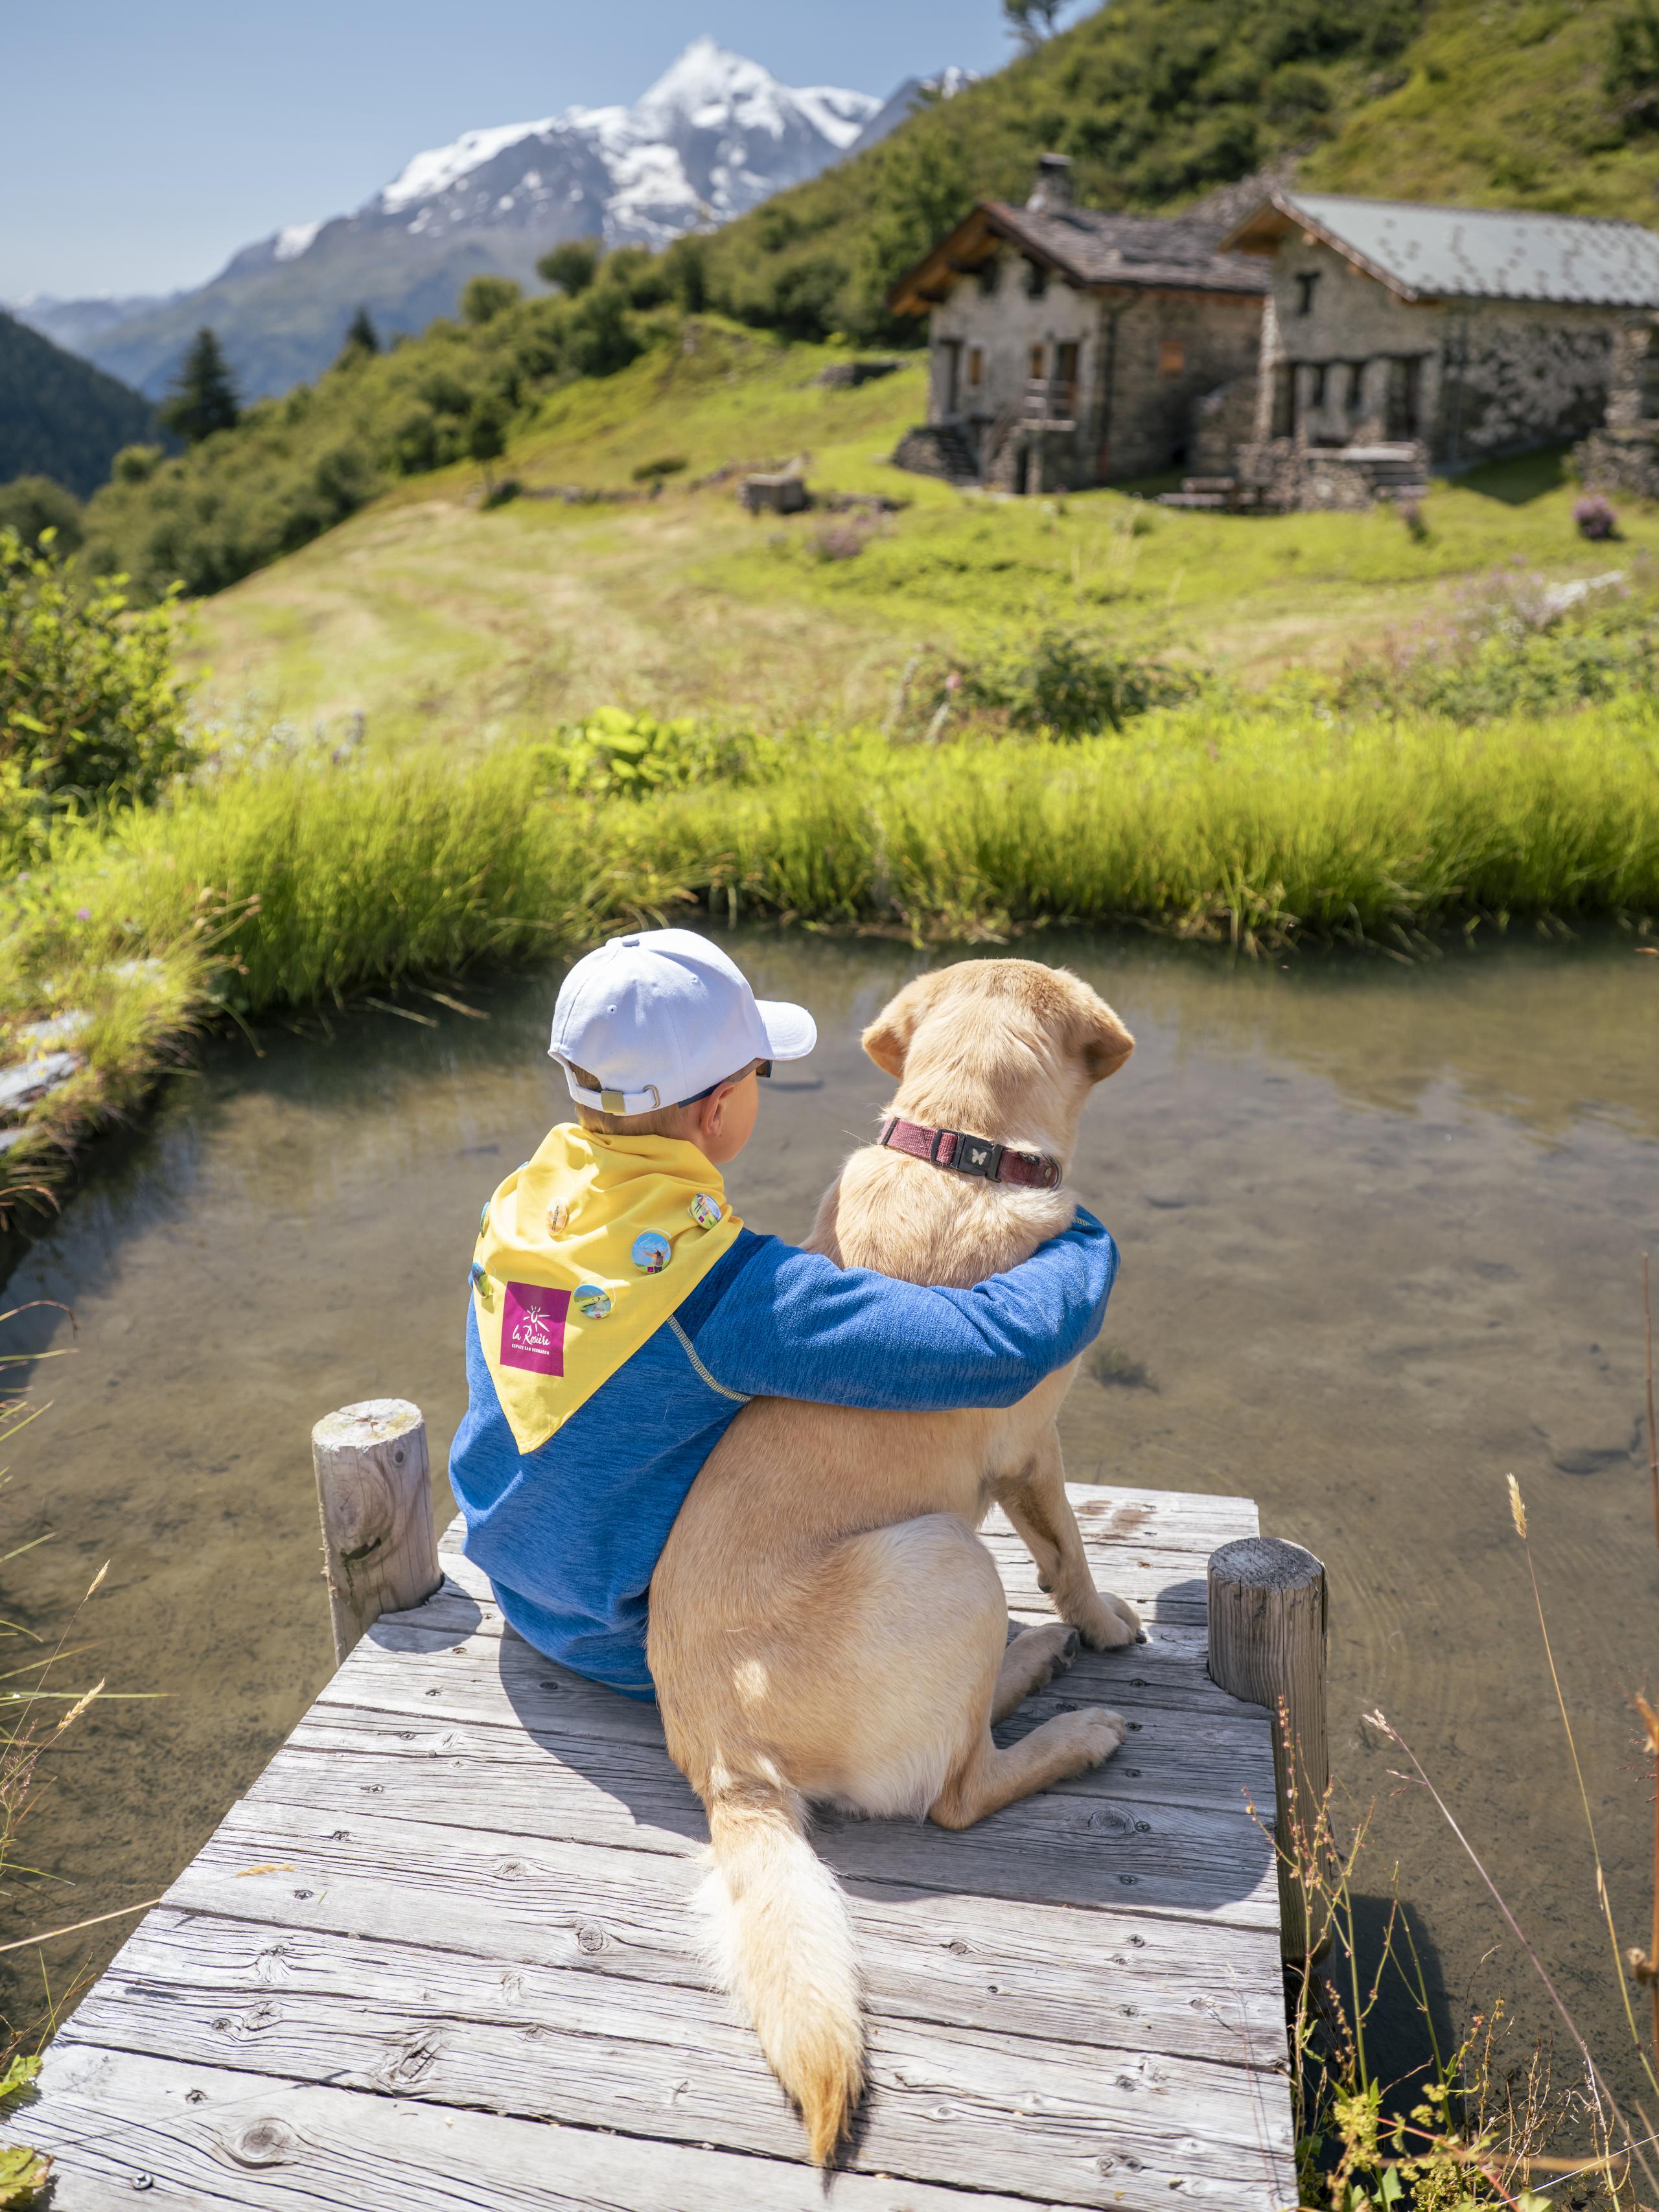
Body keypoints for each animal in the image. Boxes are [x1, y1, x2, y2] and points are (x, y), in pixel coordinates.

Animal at [650, 951, 1141, 2159]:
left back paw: (1033, 1663)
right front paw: (1107, 1622)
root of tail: (726, 1766)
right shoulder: (1034, 1446)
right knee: (957, 1788)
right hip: (950, 1558)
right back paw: (1075, 1723)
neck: (957, 1145)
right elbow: (1070, 1548)